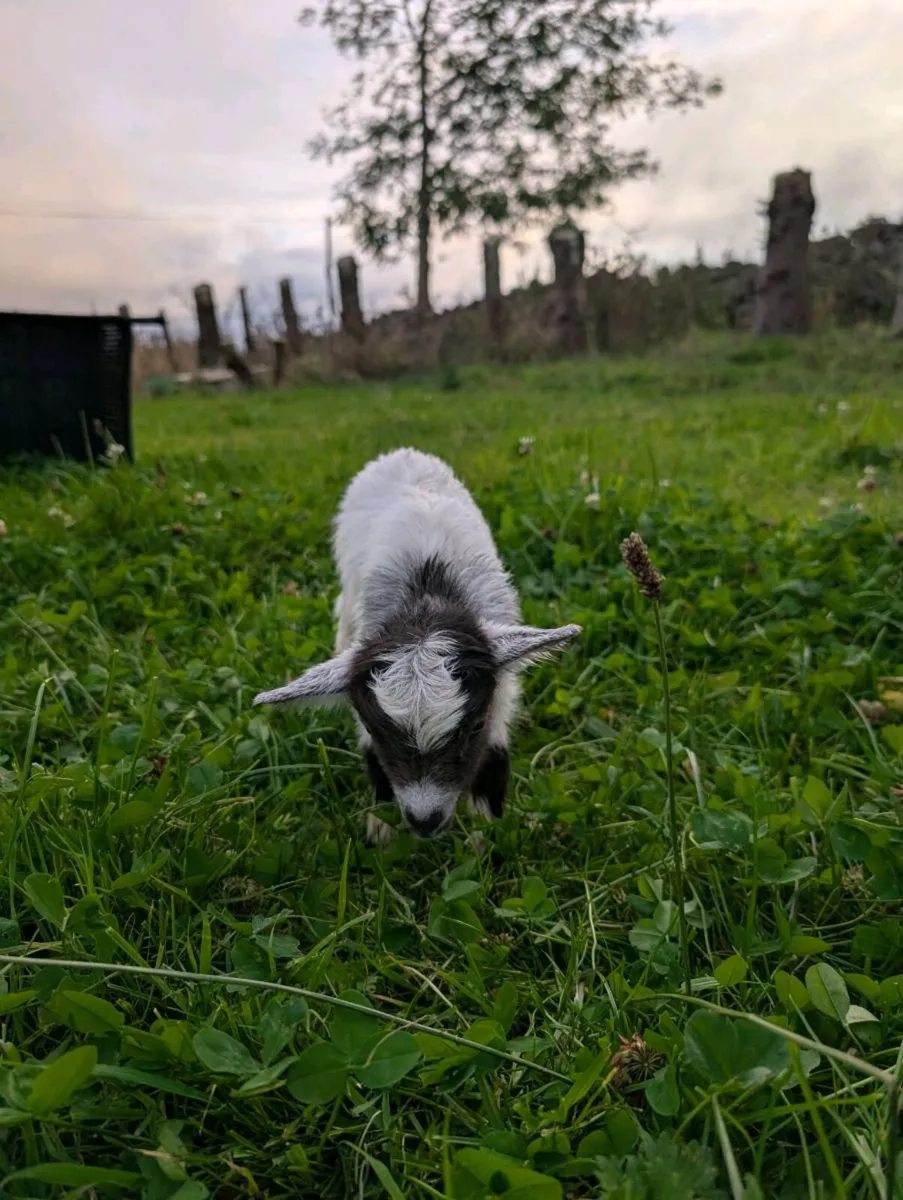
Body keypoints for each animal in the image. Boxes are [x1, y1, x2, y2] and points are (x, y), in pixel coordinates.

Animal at [253, 448, 580, 838]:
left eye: (473, 727)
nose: (425, 822)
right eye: (376, 730)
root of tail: (402, 453)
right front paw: (380, 831)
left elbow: (494, 755)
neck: (427, 594)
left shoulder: (501, 689)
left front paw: (489, 836)